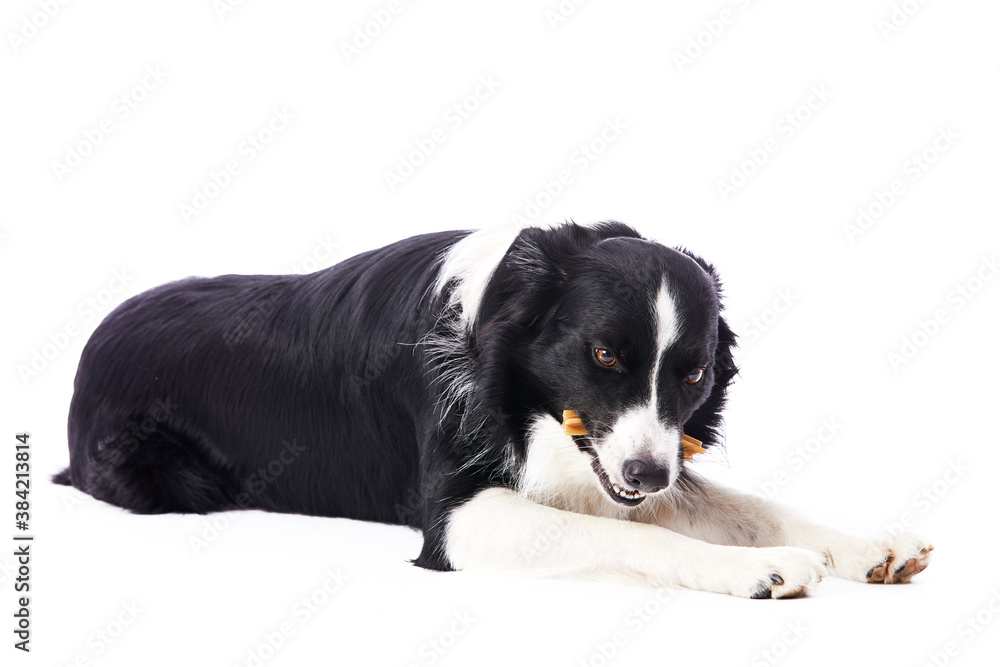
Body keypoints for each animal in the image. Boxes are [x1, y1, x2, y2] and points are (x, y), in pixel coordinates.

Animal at [54, 222, 928, 596]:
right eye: (604, 355)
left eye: (694, 372)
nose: (649, 476)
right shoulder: (456, 515)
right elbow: (627, 531)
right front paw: (760, 567)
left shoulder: (623, 458)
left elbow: (750, 504)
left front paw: (867, 547)